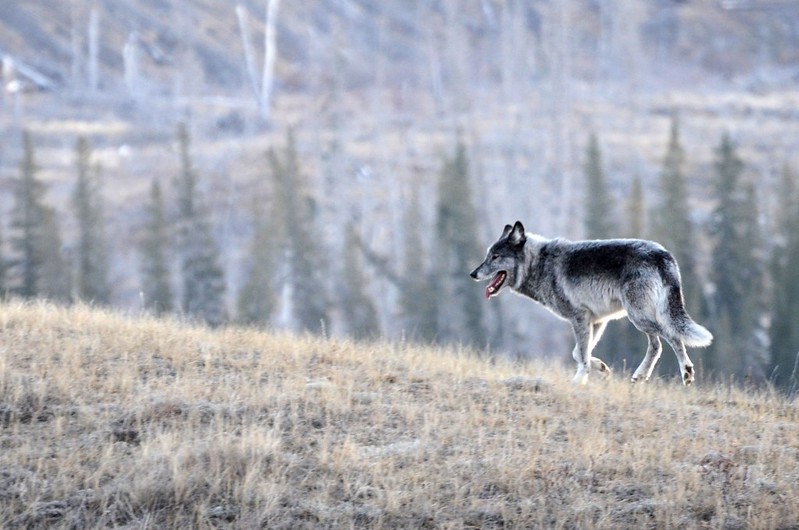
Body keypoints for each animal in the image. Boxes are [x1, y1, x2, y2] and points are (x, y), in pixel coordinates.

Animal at [470, 221, 712, 385]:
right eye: (487, 255)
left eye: (495, 257)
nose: (473, 273)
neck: (541, 265)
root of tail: (663, 254)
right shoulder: (596, 321)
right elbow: (579, 353)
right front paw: (601, 368)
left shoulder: (578, 318)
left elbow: (581, 355)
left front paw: (578, 381)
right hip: (641, 318)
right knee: (656, 346)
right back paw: (640, 376)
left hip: (639, 318)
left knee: (671, 338)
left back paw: (686, 372)